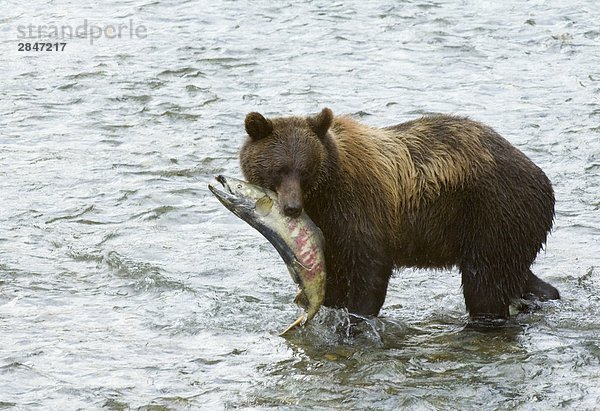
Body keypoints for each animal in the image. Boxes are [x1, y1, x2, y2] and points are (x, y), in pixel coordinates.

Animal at [238, 108, 556, 326]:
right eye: (278, 169)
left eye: (304, 170)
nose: (292, 207)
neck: (323, 196)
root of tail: (543, 179)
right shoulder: (330, 229)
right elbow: (335, 276)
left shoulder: (361, 207)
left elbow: (369, 266)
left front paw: (357, 317)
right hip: (511, 227)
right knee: (517, 274)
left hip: (494, 212)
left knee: (485, 282)